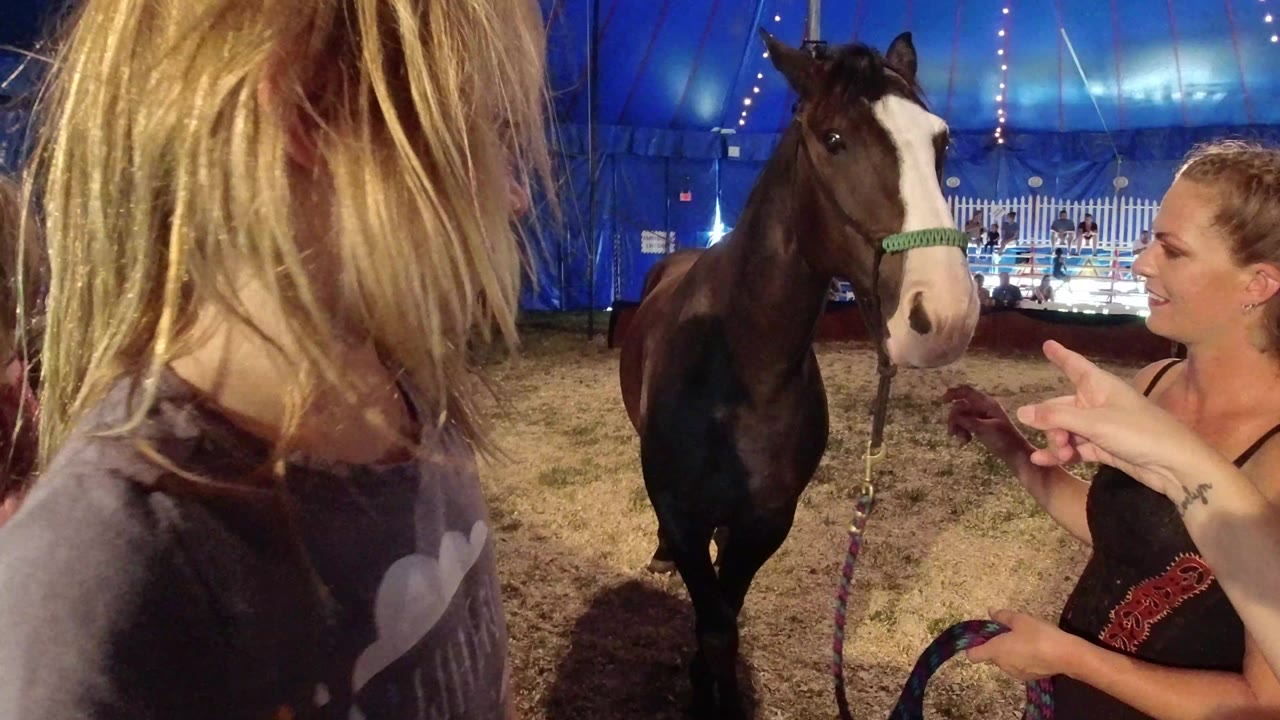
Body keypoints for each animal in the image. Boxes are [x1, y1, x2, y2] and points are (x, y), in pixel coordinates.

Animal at [617, 30, 979, 718]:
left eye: (940, 141)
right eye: (834, 139)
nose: (945, 314)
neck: (741, 372)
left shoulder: (767, 520)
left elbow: (726, 617)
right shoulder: (682, 512)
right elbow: (714, 624)